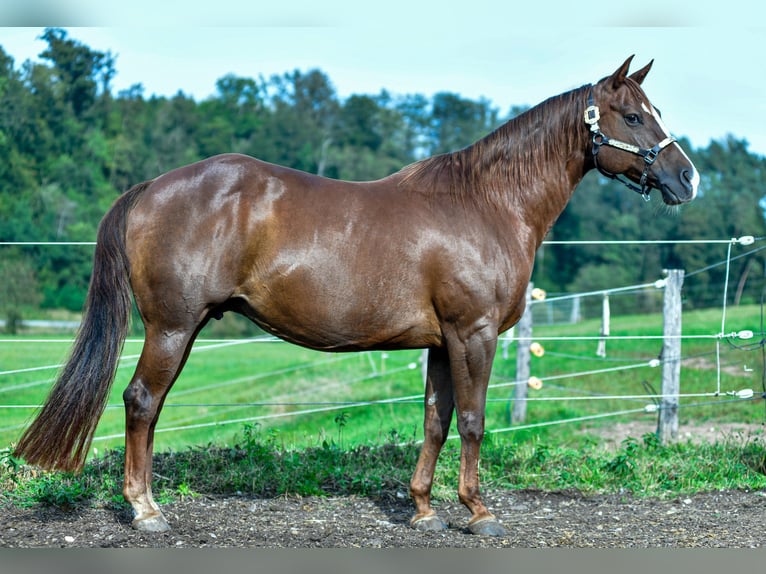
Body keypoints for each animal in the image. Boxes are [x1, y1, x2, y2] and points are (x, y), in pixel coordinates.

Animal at [13, 56, 704, 536]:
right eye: (634, 116)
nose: (687, 178)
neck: (486, 204)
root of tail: (152, 187)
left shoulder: (441, 342)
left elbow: (435, 420)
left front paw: (423, 509)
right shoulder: (472, 333)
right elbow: (474, 422)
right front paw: (478, 511)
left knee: (148, 408)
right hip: (173, 326)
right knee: (141, 402)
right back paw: (146, 511)